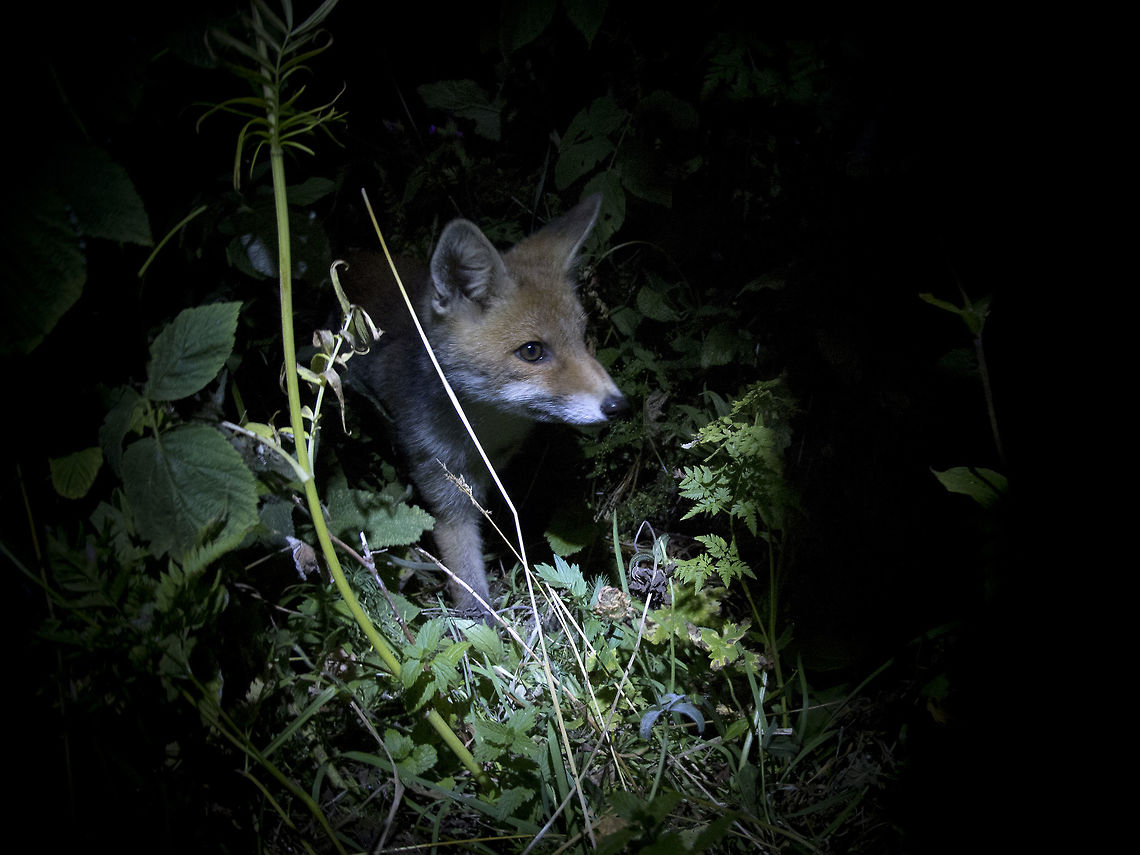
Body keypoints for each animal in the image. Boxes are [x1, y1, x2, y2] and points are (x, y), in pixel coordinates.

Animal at [338, 194, 629, 619]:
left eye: (583, 337)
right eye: (532, 351)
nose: (618, 405)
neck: (484, 434)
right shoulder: (444, 489)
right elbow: (468, 579)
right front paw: (486, 629)